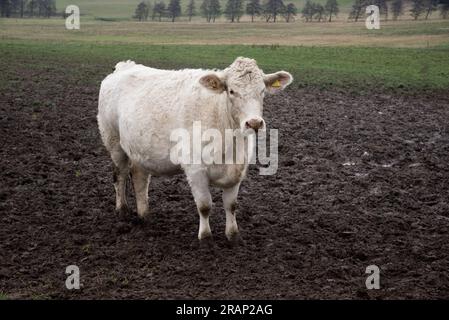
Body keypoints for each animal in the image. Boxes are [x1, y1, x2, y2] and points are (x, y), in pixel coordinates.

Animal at [98, 57, 292, 242]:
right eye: (231, 91)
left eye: (262, 91)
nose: (254, 123)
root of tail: (125, 65)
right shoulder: (195, 170)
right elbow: (205, 206)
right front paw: (205, 237)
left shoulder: (237, 170)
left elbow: (231, 205)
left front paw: (233, 235)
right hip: (113, 140)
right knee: (120, 174)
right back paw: (122, 210)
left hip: (140, 148)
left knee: (139, 178)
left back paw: (144, 215)